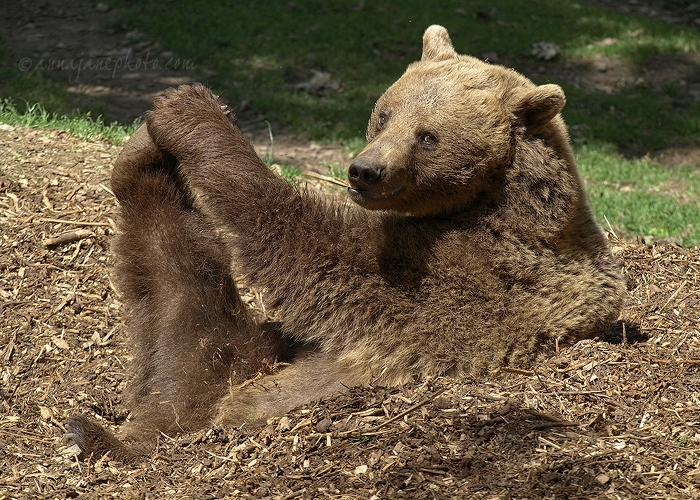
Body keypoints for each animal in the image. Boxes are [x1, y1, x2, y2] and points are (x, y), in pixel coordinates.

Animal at [64, 25, 624, 458]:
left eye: (428, 136)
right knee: (185, 308)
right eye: (385, 113)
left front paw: (194, 115)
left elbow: (312, 249)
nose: (365, 170)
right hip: (246, 354)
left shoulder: (460, 276)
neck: (489, 200)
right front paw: (167, 118)